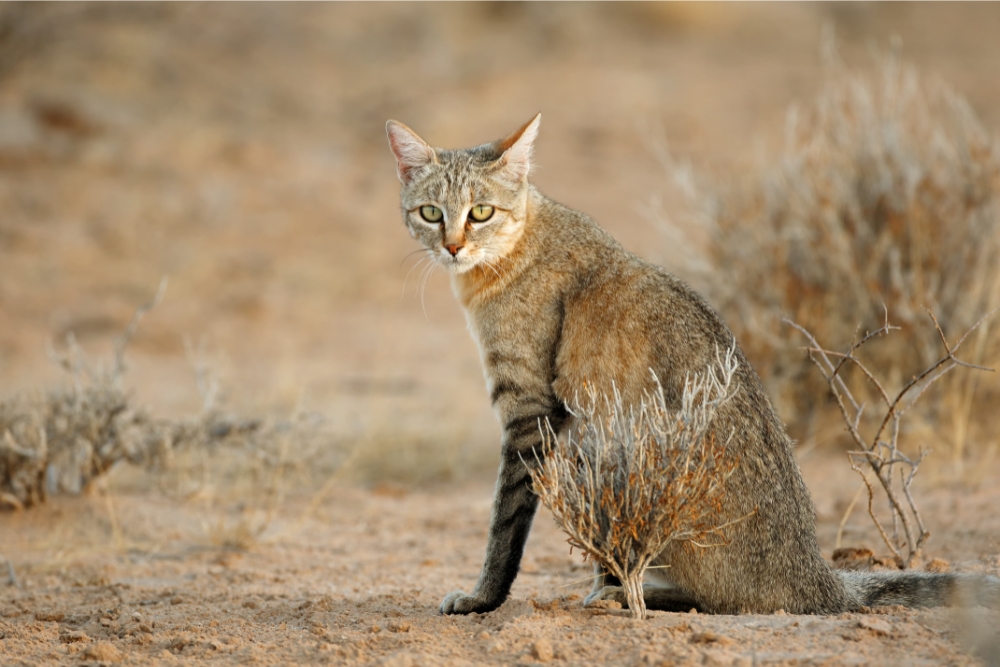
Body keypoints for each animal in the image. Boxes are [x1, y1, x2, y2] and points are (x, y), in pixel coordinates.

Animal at [384, 113, 1000, 616]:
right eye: (431, 213)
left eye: (481, 212)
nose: (453, 247)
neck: (517, 246)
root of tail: (818, 576)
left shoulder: (529, 412)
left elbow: (505, 525)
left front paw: (482, 598)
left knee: (720, 599)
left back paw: (628, 597)